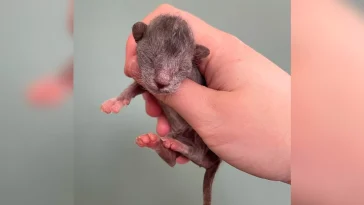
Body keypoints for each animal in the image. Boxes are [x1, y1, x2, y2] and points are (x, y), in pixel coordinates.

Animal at [101, 14, 223, 205]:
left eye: (181, 67)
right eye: (151, 59)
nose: (162, 82)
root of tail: (215, 162)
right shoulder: (144, 81)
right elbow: (134, 87)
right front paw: (116, 102)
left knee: (198, 154)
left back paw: (176, 145)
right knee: (173, 161)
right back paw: (155, 143)